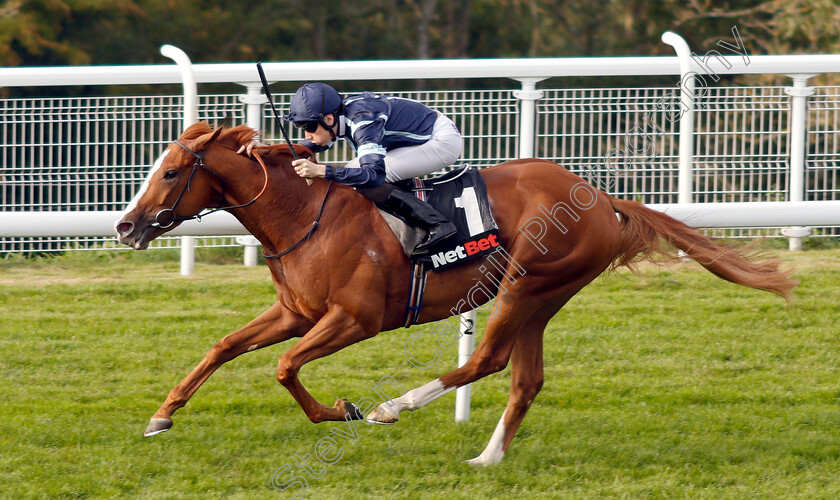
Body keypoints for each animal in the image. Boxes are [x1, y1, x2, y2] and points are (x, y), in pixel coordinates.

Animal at [113, 123, 796, 466]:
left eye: (169, 172)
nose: (125, 225)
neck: (305, 213)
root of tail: (602, 198)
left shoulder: (355, 318)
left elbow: (283, 368)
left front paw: (347, 410)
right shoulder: (295, 311)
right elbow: (224, 346)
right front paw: (161, 415)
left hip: (528, 283)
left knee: (487, 360)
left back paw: (395, 407)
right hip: (541, 297)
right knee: (525, 378)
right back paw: (488, 460)